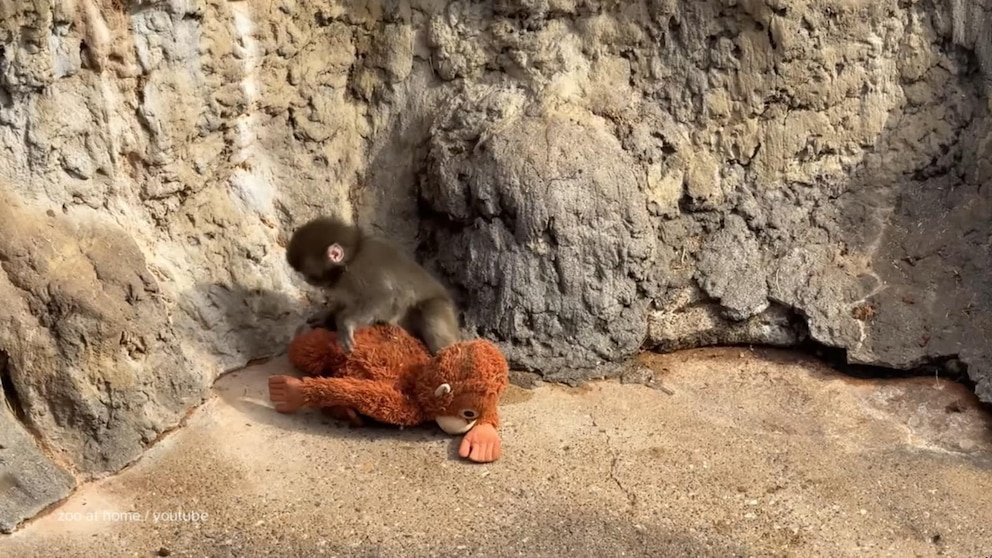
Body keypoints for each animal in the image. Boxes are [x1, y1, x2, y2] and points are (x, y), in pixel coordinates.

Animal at [285, 216, 462, 355]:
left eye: (308, 273)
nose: (306, 279)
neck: (351, 257)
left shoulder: (360, 271)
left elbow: (384, 297)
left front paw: (346, 323)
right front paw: (327, 315)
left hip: (440, 307)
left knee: (431, 316)